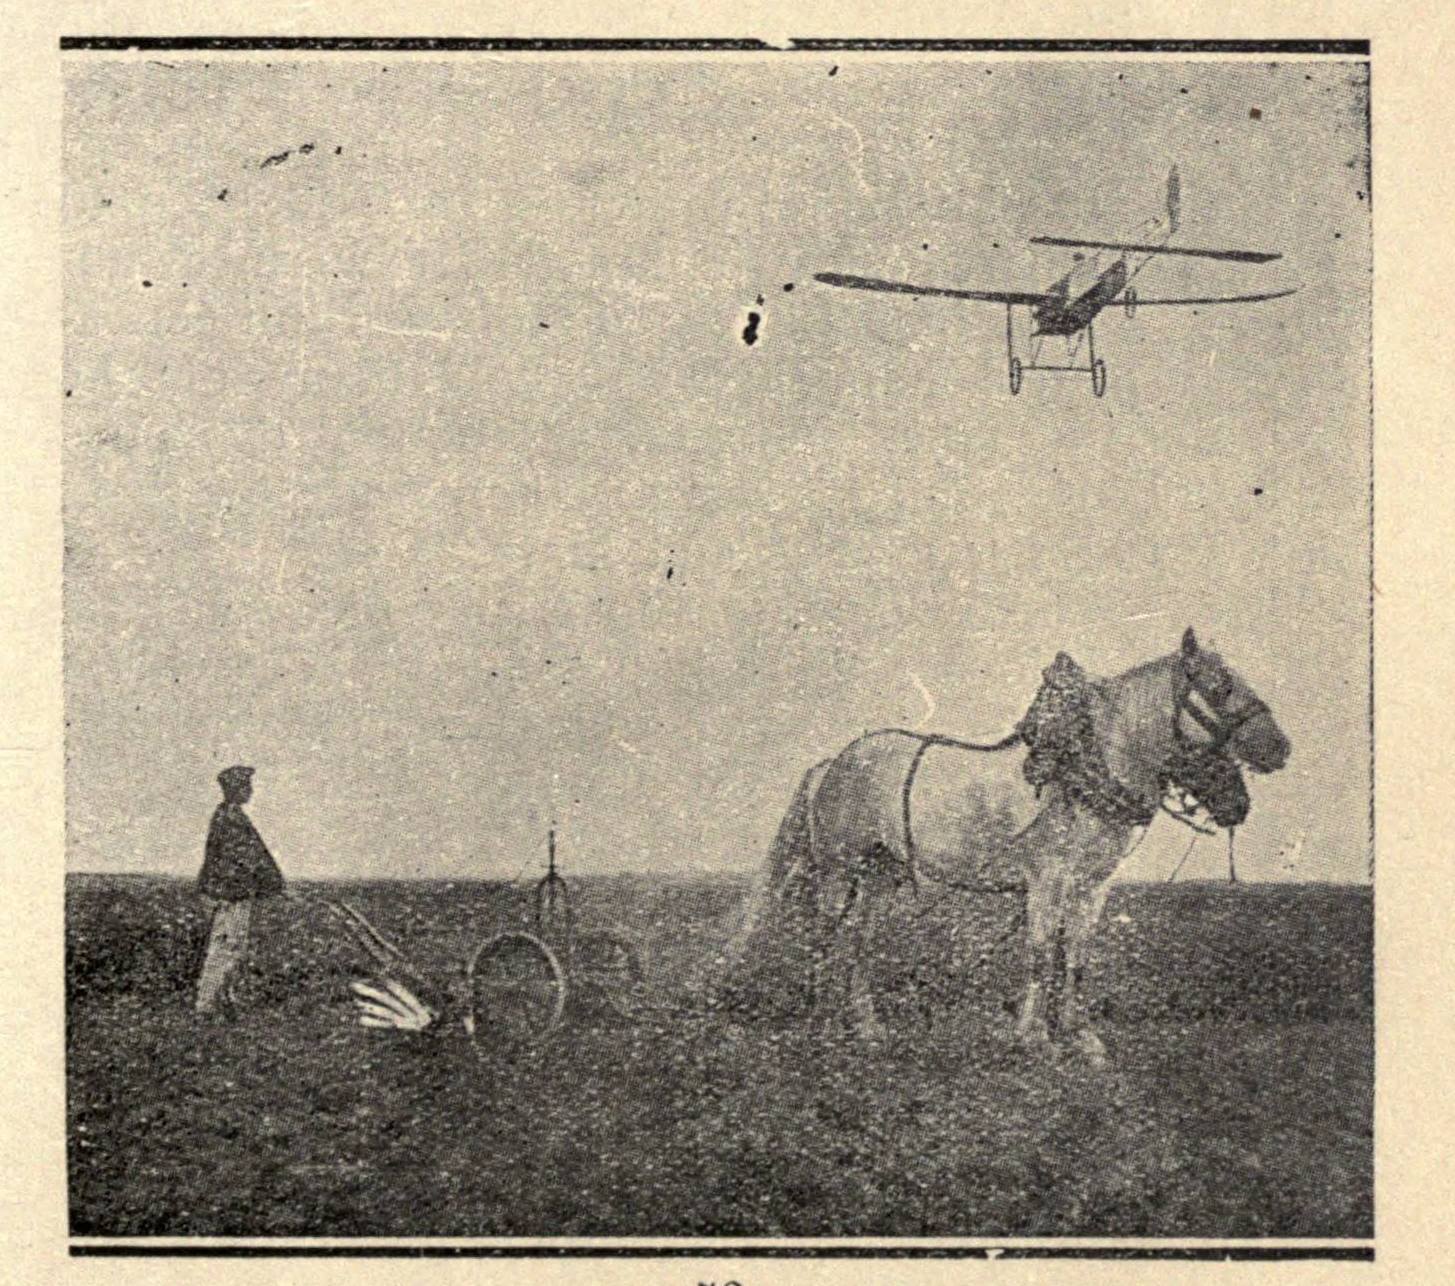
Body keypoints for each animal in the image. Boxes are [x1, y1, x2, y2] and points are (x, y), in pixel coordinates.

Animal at [726, 628, 1290, 1065]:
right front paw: (1033, 1039)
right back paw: (823, 1024)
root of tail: (835, 761)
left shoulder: (1091, 887)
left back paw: (867, 1028)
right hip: (839, 873)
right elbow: (1040, 955)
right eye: (1220, 687)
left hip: (880, 876)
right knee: (824, 937)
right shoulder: (1047, 881)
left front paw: (1084, 1041)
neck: (1084, 770)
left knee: (859, 941)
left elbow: (1076, 959)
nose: (1281, 749)